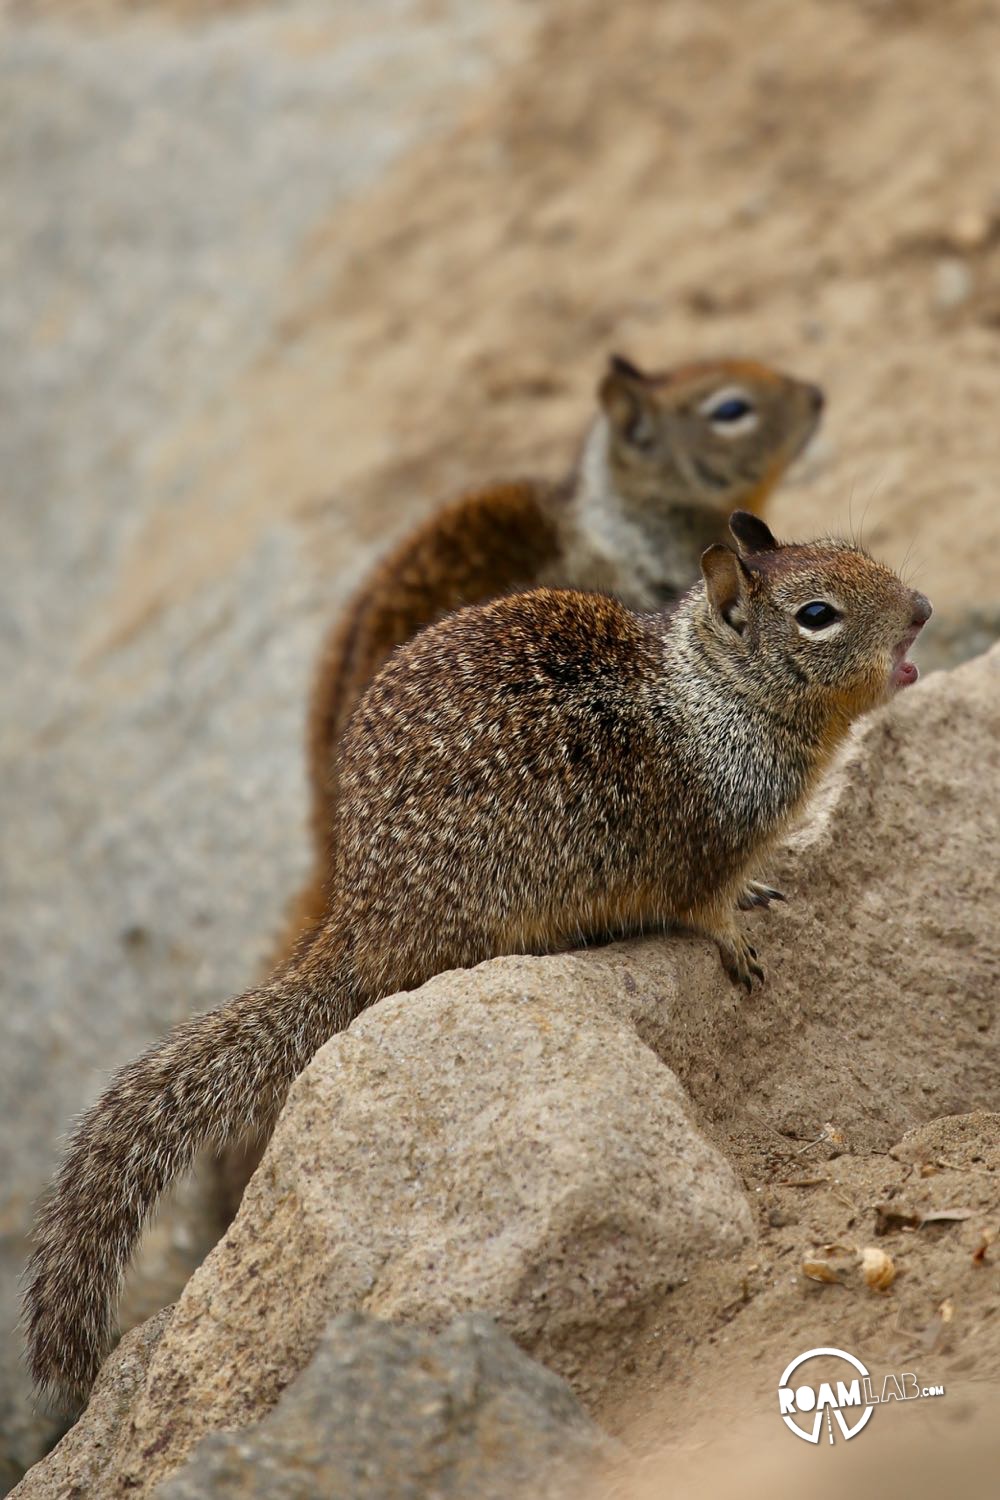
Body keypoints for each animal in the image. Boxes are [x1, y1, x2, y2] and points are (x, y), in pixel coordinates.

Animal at [25, 513, 929, 1404]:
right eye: (818, 615)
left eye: (858, 553)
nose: (922, 607)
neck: (718, 697)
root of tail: (357, 919)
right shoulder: (703, 851)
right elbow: (704, 908)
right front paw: (737, 940)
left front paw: (759, 896)